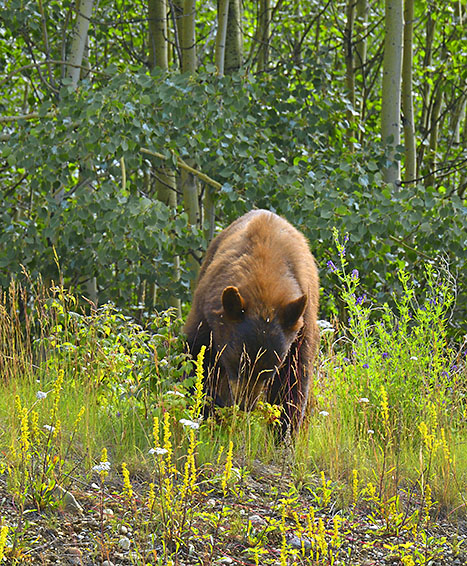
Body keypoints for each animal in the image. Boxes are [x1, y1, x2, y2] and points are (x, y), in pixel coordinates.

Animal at [185, 209, 320, 434]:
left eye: (268, 371)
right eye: (237, 364)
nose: (244, 405)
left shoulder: (301, 330)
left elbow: (293, 382)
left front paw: (284, 433)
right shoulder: (206, 316)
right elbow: (198, 360)